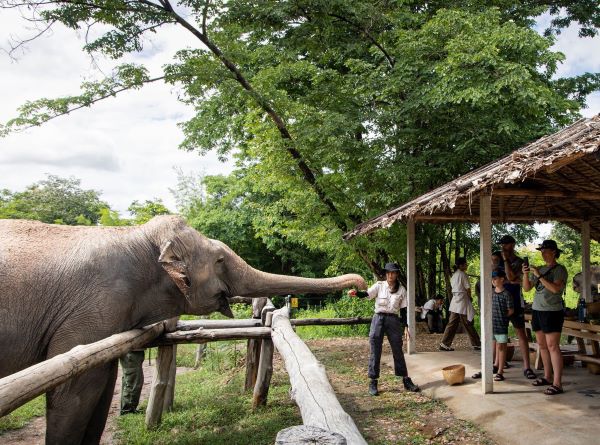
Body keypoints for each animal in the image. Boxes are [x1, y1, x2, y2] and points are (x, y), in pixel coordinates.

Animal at [0, 214, 366, 440]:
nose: (361, 283)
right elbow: (74, 389)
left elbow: (101, 386)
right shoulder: (92, 308)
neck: (138, 235)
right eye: (220, 260)